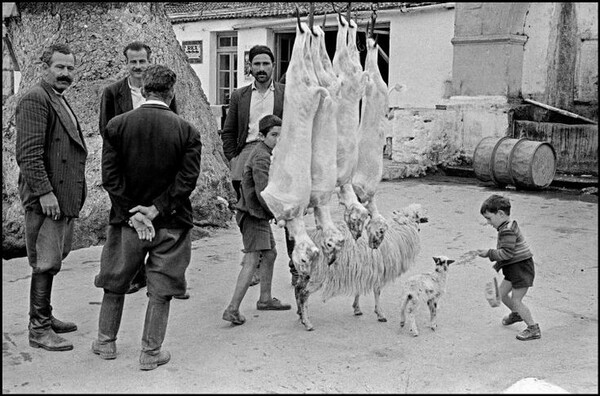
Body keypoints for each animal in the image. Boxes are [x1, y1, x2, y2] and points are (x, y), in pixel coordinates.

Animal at [294, 204, 426, 332]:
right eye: (416, 216)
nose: (421, 226)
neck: (398, 235)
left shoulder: (361, 269)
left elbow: (359, 288)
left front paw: (357, 308)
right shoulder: (378, 270)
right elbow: (377, 292)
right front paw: (380, 314)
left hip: (306, 272)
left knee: (297, 289)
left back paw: (301, 316)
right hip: (319, 273)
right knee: (303, 294)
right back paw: (307, 323)